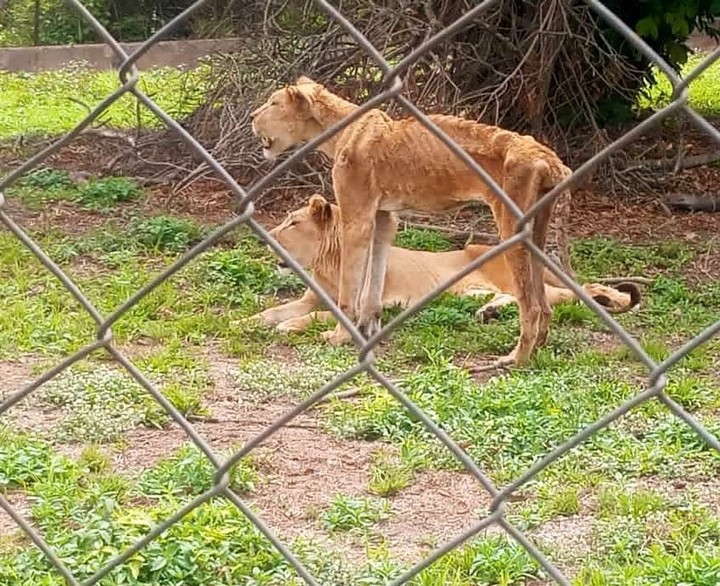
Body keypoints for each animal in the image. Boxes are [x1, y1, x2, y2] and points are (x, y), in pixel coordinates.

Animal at [250, 194, 640, 336]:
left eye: (292, 223)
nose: (264, 236)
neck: (328, 265)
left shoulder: (373, 305)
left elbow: (318, 316)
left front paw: (290, 326)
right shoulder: (311, 298)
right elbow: (273, 311)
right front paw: (248, 321)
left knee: (566, 296)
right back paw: (487, 311)